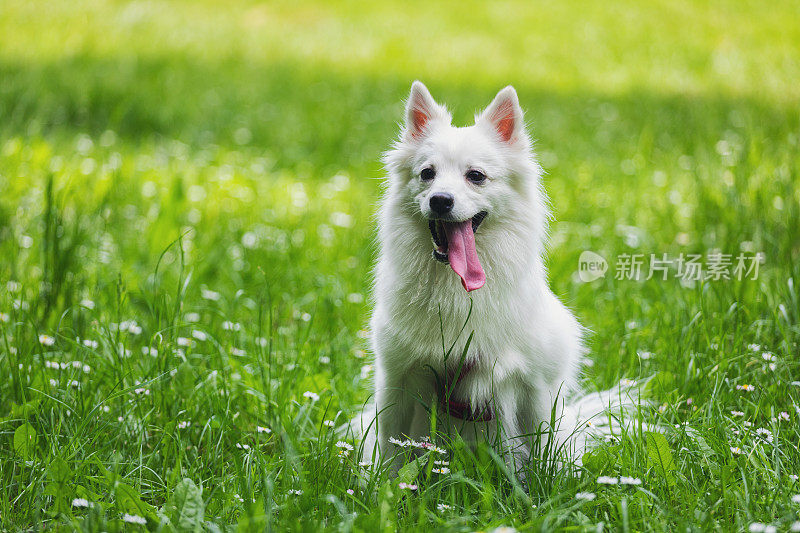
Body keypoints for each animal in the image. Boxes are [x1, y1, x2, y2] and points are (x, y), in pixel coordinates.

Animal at [362, 81, 620, 472]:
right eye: (427, 174)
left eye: (476, 176)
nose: (440, 200)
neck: (456, 292)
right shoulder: (398, 379)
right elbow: (389, 452)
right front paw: (383, 485)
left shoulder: (534, 387)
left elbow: (542, 451)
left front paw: (545, 484)